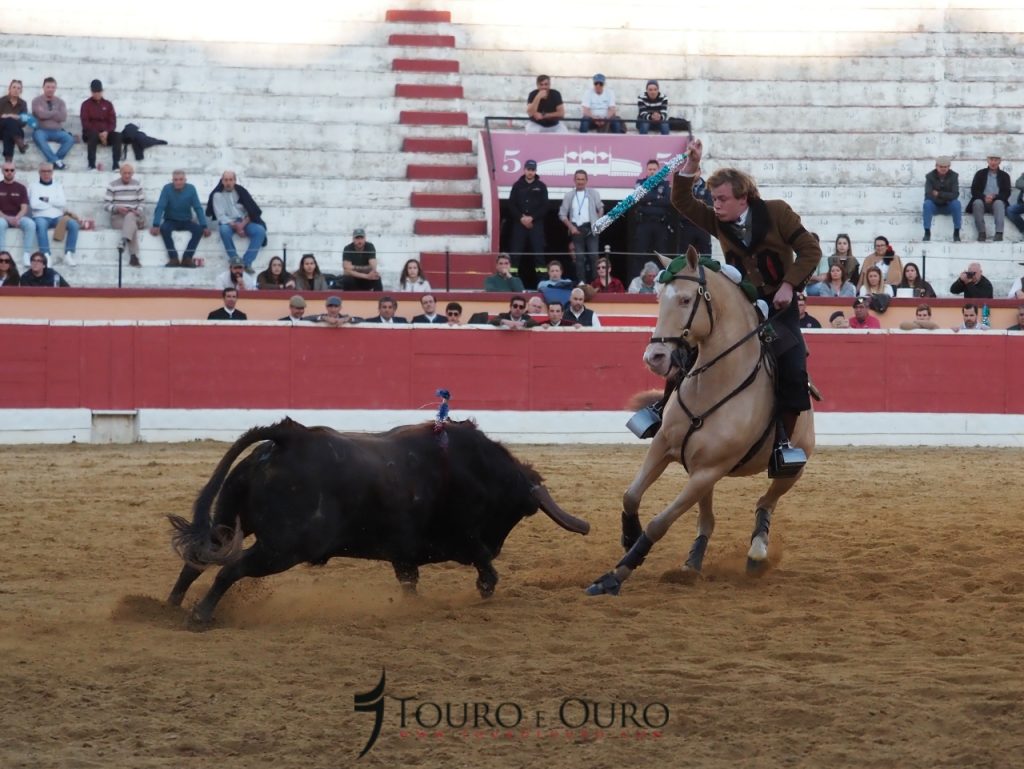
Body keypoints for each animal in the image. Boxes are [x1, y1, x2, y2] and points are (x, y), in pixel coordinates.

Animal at [167, 417, 589, 627]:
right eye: (521, 511)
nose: (499, 544)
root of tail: (289, 439)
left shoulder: (403, 552)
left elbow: (408, 581)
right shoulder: (465, 540)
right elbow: (486, 568)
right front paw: (484, 590)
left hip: (229, 522)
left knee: (197, 561)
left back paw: (170, 606)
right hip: (283, 547)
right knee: (230, 569)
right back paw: (200, 615)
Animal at [585, 248, 815, 595]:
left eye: (684, 299)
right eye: (659, 299)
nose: (654, 358)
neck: (714, 383)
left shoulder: (710, 469)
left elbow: (659, 522)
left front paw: (614, 576)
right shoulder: (665, 446)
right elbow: (631, 494)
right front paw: (629, 535)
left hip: (790, 471)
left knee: (766, 502)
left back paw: (757, 552)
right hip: (697, 468)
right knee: (708, 519)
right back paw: (692, 563)